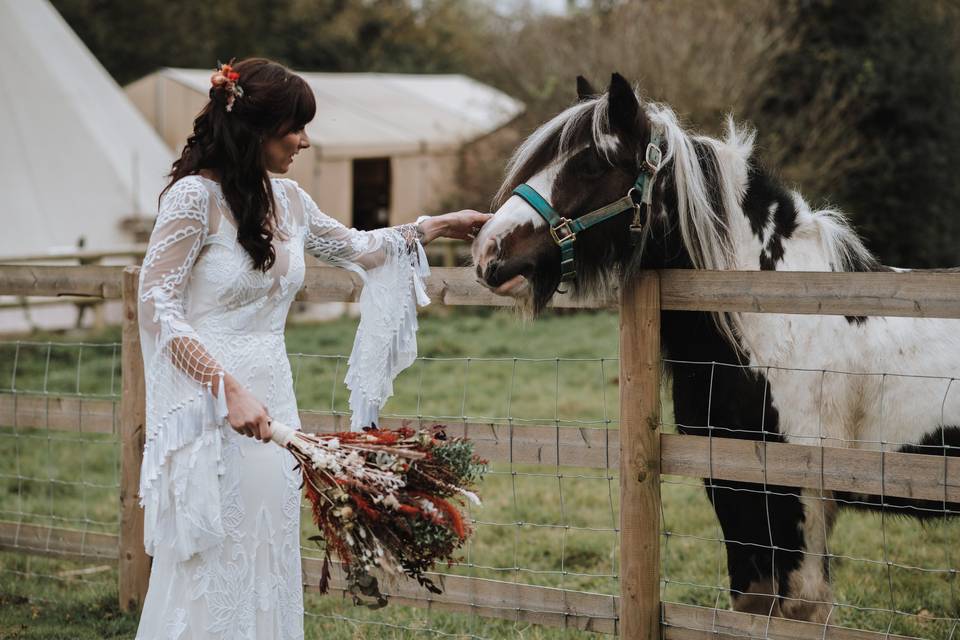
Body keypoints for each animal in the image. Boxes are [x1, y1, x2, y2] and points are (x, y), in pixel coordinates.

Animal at [470, 72, 960, 624]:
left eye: (592, 164)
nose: (488, 250)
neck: (779, 321)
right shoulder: (732, 487)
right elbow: (750, 606)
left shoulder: (801, 497)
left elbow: (801, 610)